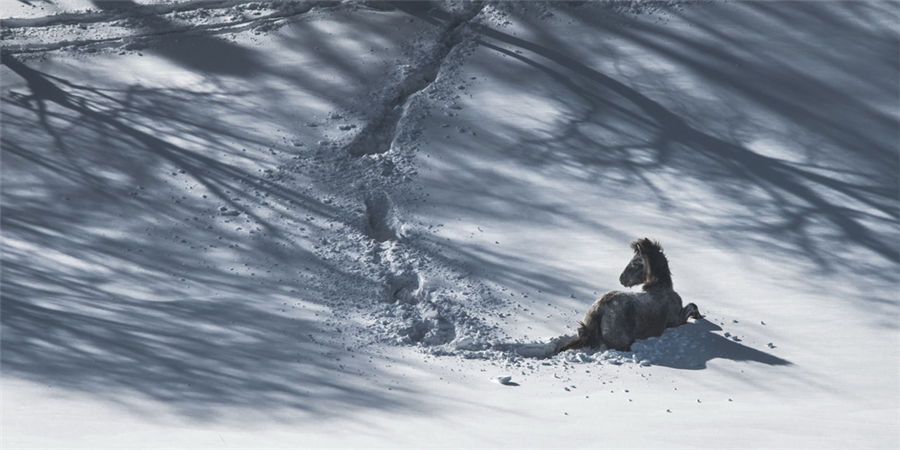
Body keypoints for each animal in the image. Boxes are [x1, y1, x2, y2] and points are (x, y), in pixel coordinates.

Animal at [556, 237, 704, 354]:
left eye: (634, 262)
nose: (622, 279)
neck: (660, 287)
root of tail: (599, 308)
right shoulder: (676, 321)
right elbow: (693, 306)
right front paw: (699, 316)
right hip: (622, 344)